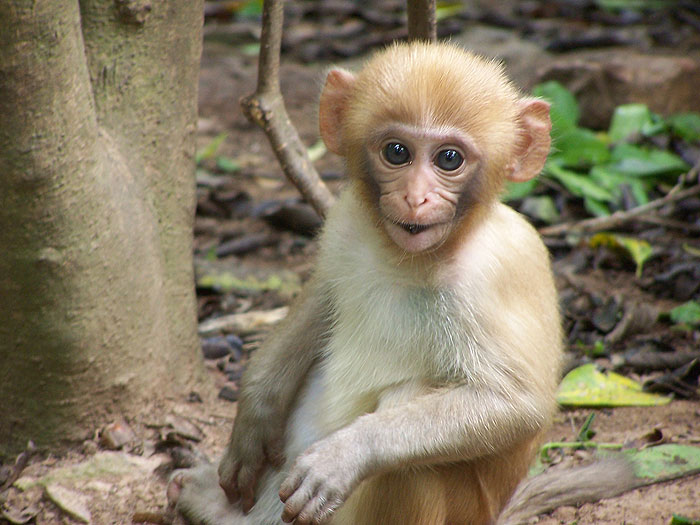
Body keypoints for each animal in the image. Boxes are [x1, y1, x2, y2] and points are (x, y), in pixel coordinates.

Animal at [172, 42, 568, 524]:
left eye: (449, 158)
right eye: (397, 152)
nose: (415, 197)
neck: (408, 259)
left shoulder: (498, 271)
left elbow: (518, 405)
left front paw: (347, 454)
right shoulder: (344, 221)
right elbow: (322, 302)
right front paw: (254, 414)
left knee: (409, 454)